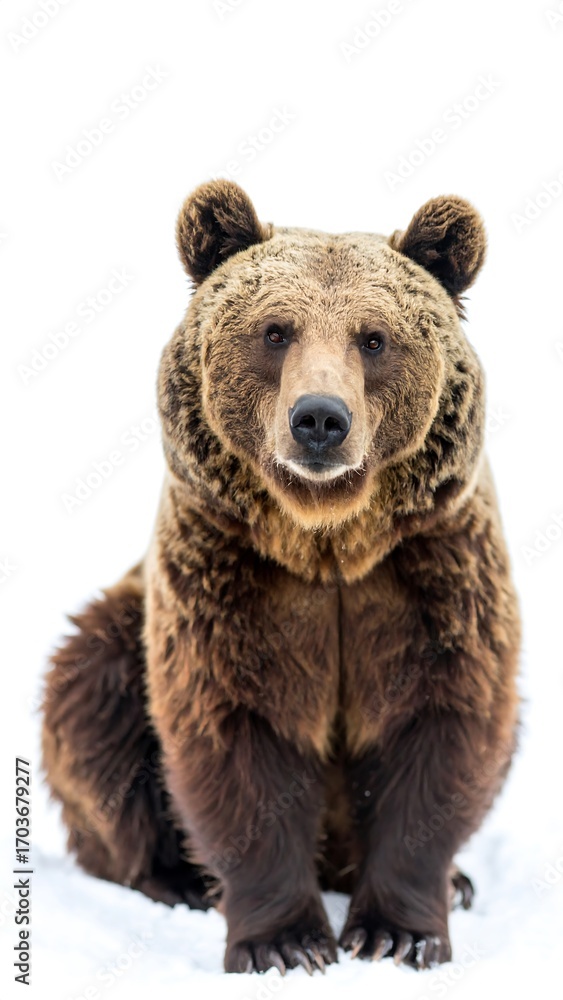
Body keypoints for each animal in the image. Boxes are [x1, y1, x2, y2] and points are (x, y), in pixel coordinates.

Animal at [42, 180, 520, 976]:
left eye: (373, 337)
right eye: (275, 331)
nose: (319, 418)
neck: (328, 541)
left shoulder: (431, 571)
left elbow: (442, 723)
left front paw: (398, 931)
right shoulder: (229, 579)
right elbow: (236, 732)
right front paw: (285, 942)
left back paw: (460, 880)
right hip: (121, 631)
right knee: (92, 700)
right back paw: (174, 877)